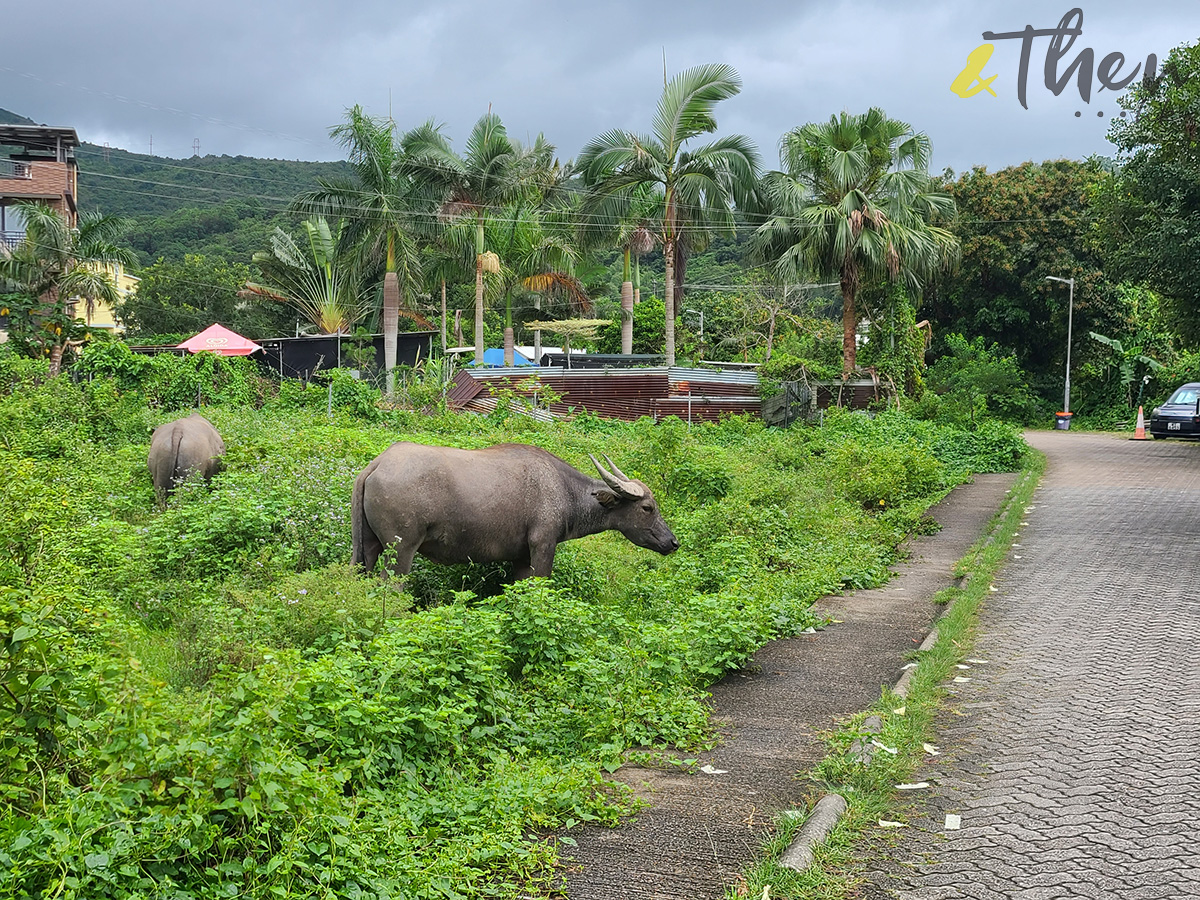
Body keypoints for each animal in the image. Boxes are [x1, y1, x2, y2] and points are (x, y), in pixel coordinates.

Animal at [350, 441, 681, 580]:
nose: (673, 542)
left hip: (366, 548)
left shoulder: (520, 556)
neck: (563, 489)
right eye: (648, 507)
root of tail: (376, 465)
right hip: (401, 549)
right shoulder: (543, 546)